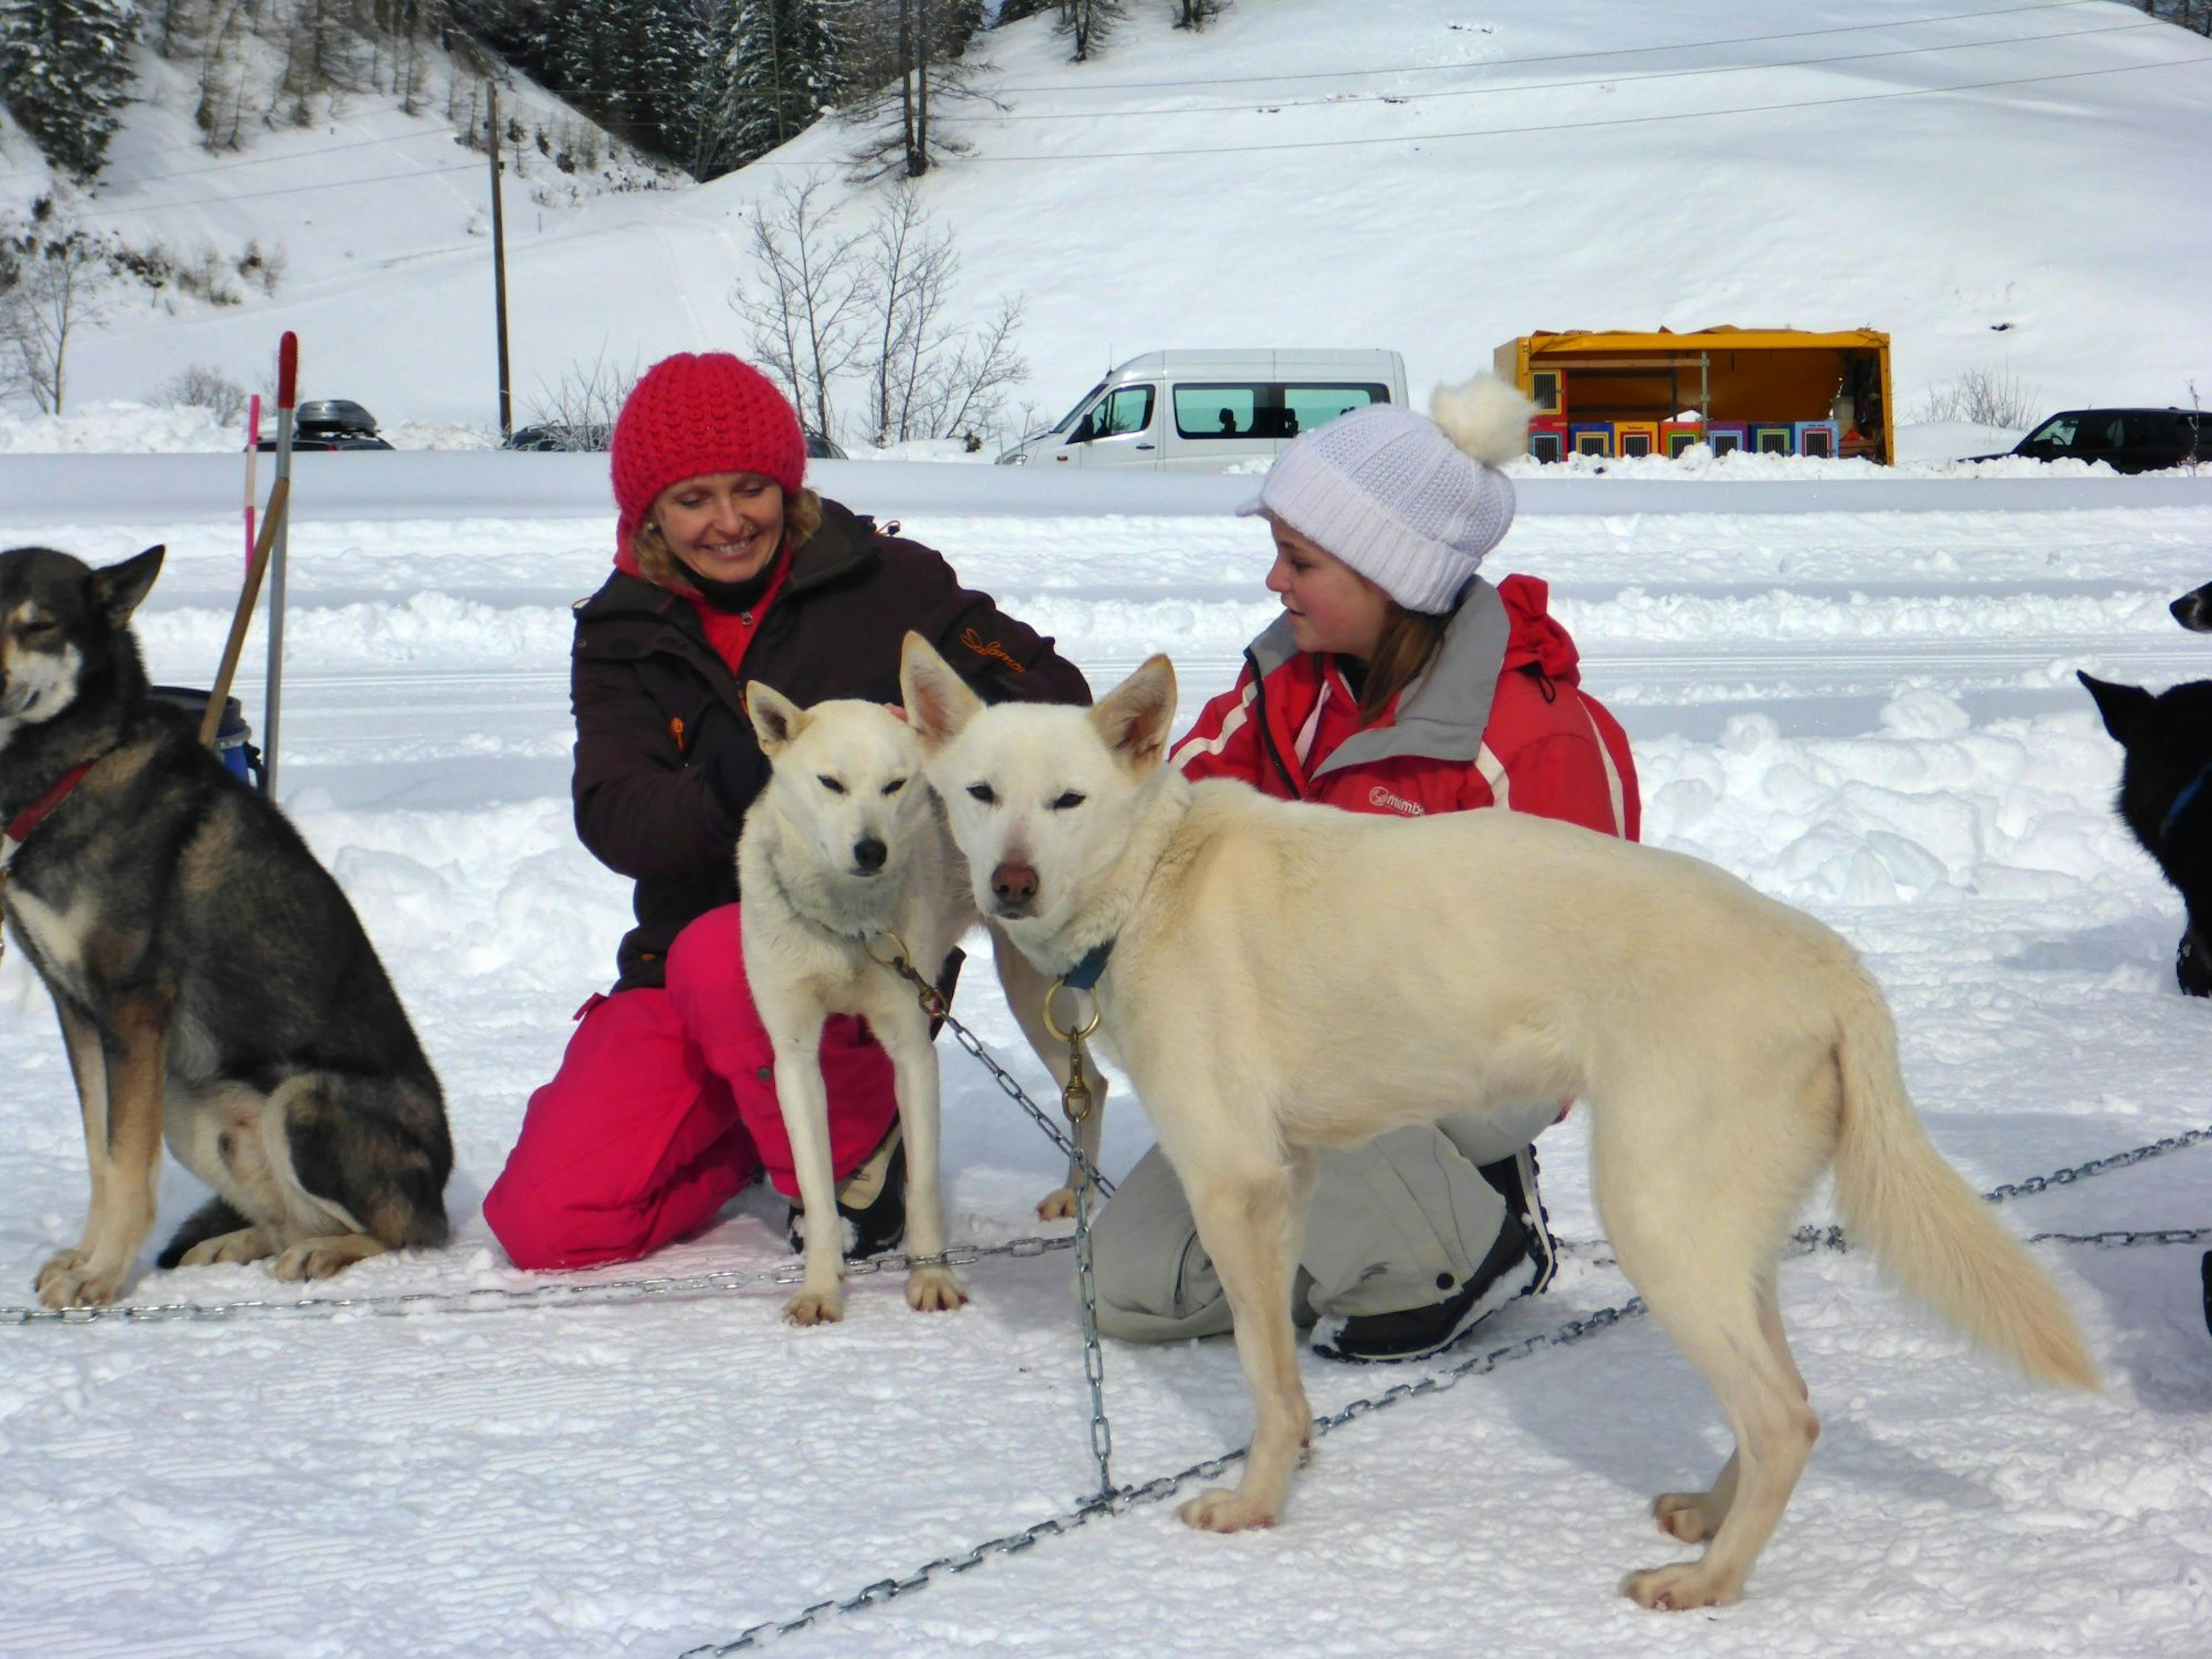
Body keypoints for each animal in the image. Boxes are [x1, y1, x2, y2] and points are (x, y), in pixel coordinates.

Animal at [734, 685, 1097, 1327]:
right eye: (831, 783)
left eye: (896, 785)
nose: (871, 849)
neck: (850, 929)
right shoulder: (795, 1056)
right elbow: (818, 1191)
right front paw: (821, 1289)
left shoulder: (911, 1048)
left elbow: (923, 1186)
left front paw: (930, 1277)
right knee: (1089, 1085)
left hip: (1037, 998)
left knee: (1093, 1085)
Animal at [893, 632, 2088, 1610]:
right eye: (981, 793)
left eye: (1068, 801)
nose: (1010, 882)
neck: (1154, 882)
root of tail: (1833, 964)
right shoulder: (1291, 1181)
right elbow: (1283, 1374)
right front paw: (1296, 1467)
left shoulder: (1233, 1181)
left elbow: (1263, 1373)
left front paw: (1255, 1505)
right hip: (1726, 1241)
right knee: (1784, 1400)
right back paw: (1708, 1521)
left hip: (1657, 1221)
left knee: (1785, 1419)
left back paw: (1707, 1584)